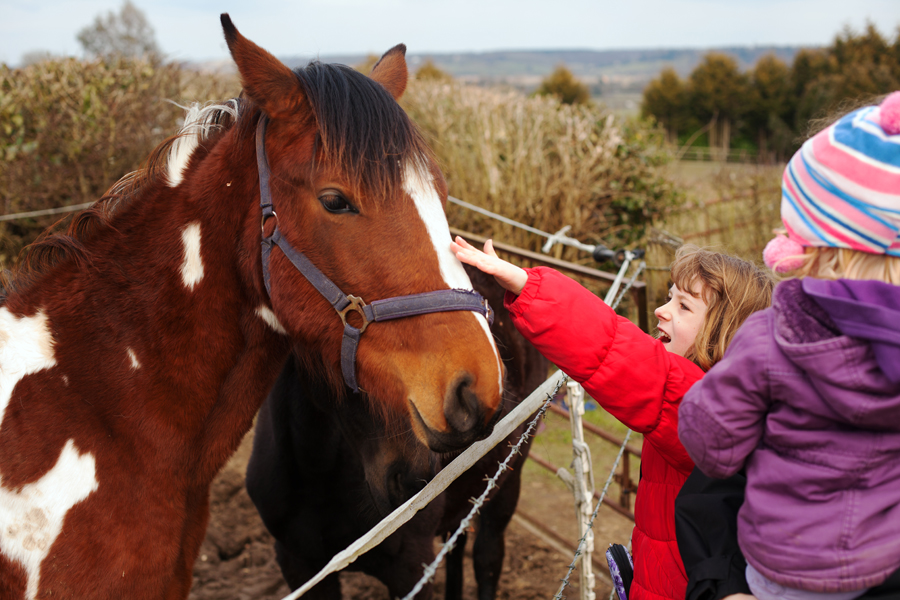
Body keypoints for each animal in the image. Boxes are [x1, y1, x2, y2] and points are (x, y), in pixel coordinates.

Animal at [247, 266, 549, 600]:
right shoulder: (298, 564)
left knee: (487, 559)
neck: (318, 480)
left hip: (506, 483)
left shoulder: (410, 569)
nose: (414, 478)